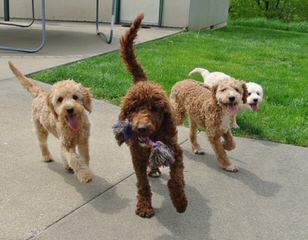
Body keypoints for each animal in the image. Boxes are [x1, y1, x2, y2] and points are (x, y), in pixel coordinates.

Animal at [118, 14, 188, 218]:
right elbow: (142, 183)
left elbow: (176, 179)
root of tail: (142, 81)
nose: (141, 128)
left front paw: (180, 202)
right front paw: (144, 206)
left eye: (153, 108)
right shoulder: (137, 156)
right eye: (132, 109)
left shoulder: (175, 150)